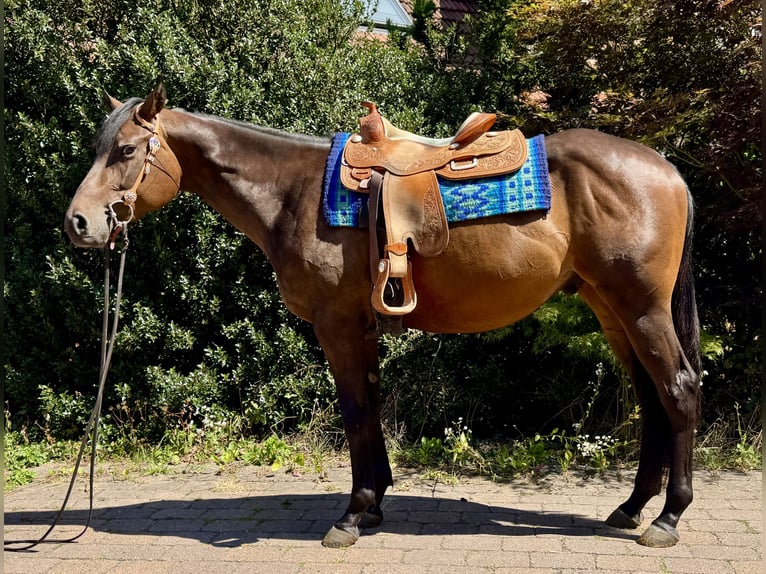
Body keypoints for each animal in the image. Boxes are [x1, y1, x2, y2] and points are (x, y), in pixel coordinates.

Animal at [65, 84, 700, 549]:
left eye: (126, 151)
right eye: (99, 148)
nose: (79, 223)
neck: (292, 191)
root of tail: (668, 171)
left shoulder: (337, 326)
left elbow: (353, 412)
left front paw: (352, 514)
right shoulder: (360, 328)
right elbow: (369, 406)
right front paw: (374, 505)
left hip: (642, 308)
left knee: (679, 390)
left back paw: (667, 519)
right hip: (613, 311)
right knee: (651, 399)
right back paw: (631, 508)